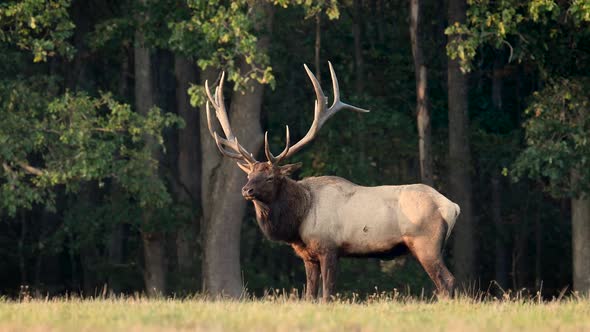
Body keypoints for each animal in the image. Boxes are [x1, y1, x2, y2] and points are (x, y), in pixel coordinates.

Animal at [206, 62, 460, 300]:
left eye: (270, 177)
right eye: (249, 175)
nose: (246, 190)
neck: (299, 220)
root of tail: (452, 207)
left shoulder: (329, 247)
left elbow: (328, 293)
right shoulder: (308, 256)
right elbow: (310, 295)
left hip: (426, 242)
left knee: (447, 280)